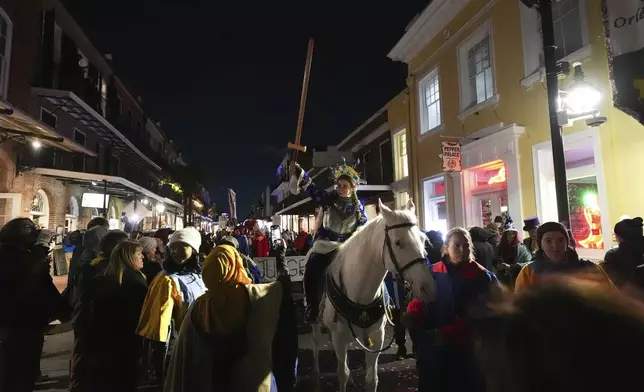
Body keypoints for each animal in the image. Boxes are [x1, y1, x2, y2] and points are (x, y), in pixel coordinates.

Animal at [312, 201, 438, 390]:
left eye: (423, 240)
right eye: (398, 242)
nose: (429, 289)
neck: (360, 293)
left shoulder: (377, 337)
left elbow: (371, 379)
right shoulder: (339, 338)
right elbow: (342, 374)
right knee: (317, 345)